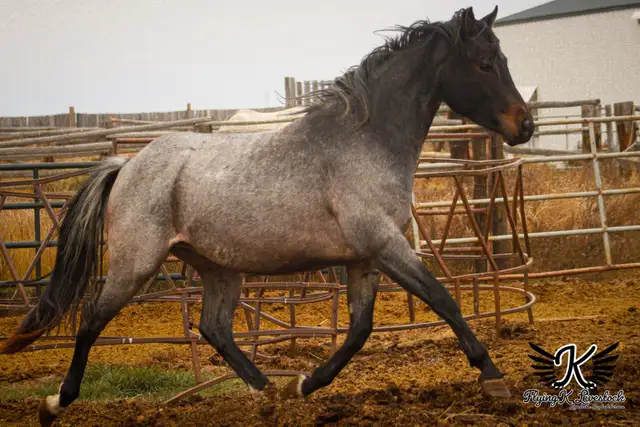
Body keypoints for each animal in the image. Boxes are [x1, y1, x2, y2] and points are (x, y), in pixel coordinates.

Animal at [1, 6, 534, 426]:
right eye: (485, 64)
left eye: (505, 60)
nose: (524, 125)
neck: (365, 142)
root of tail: (127, 164)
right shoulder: (385, 245)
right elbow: (443, 300)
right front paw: (493, 379)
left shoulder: (364, 258)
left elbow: (359, 330)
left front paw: (305, 385)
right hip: (137, 263)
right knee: (92, 319)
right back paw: (54, 404)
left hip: (218, 267)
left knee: (214, 328)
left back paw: (269, 393)